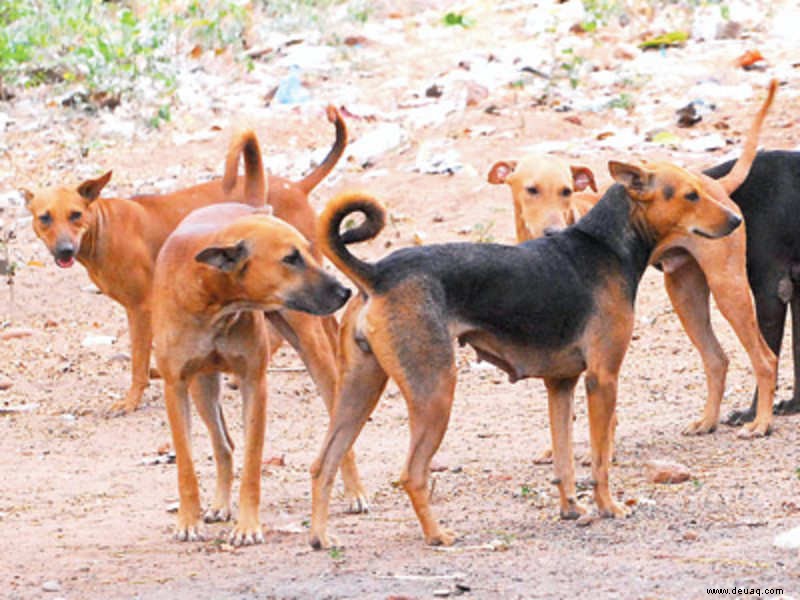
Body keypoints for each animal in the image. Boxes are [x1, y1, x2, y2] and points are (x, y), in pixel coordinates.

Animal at [21, 106, 346, 412]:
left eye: (75, 215)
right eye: (44, 218)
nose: (64, 250)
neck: (104, 225)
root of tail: (298, 186)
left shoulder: (141, 310)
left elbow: (139, 361)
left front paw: (132, 399)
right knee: (328, 326)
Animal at [151, 204, 350, 548]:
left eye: (307, 252)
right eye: (291, 258)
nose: (345, 291)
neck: (212, 298)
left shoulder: (254, 383)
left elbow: (253, 466)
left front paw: (247, 527)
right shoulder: (175, 386)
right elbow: (187, 466)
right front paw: (188, 522)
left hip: (317, 358)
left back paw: (355, 492)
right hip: (202, 387)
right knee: (223, 446)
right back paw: (219, 504)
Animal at [484, 79, 780, 438]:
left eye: (566, 191)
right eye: (531, 190)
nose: (552, 230)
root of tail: (715, 184)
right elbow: (563, 415)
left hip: (729, 289)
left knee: (765, 359)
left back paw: (761, 422)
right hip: (686, 296)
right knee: (716, 359)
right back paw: (708, 420)